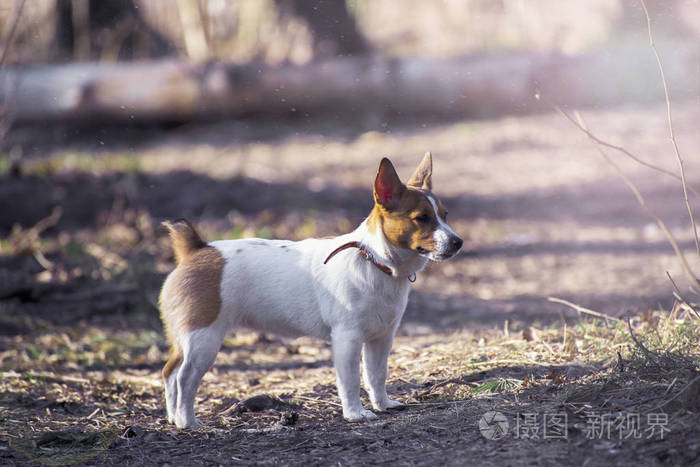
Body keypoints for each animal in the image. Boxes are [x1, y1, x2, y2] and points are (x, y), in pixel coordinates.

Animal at [161, 154, 462, 428]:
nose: (458, 242)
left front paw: (383, 404)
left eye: (445, 216)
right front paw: (355, 413)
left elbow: (376, 375)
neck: (375, 260)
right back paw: (187, 421)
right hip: (204, 340)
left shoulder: (381, 338)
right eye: (422, 218)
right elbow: (350, 380)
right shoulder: (347, 339)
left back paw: (174, 418)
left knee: (170, 374)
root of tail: (197, 249)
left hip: (186, 340)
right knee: (185, 378)